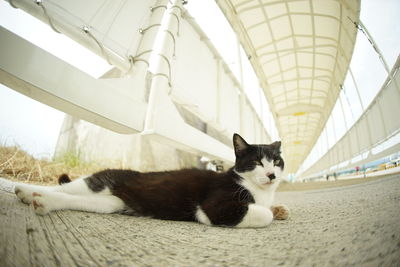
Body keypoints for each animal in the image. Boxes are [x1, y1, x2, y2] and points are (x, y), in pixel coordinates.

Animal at [14, 134, 290, 228]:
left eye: (276, 161)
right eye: (257, 162)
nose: (272, 175)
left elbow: (271, 208)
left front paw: (280, 208)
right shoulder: (215, 206)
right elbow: (263, 214)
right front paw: (271, 211)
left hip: (110, 203)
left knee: (68, 198)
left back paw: (41, 202)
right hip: (98, 181)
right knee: (63, 186)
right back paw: (26, 191)